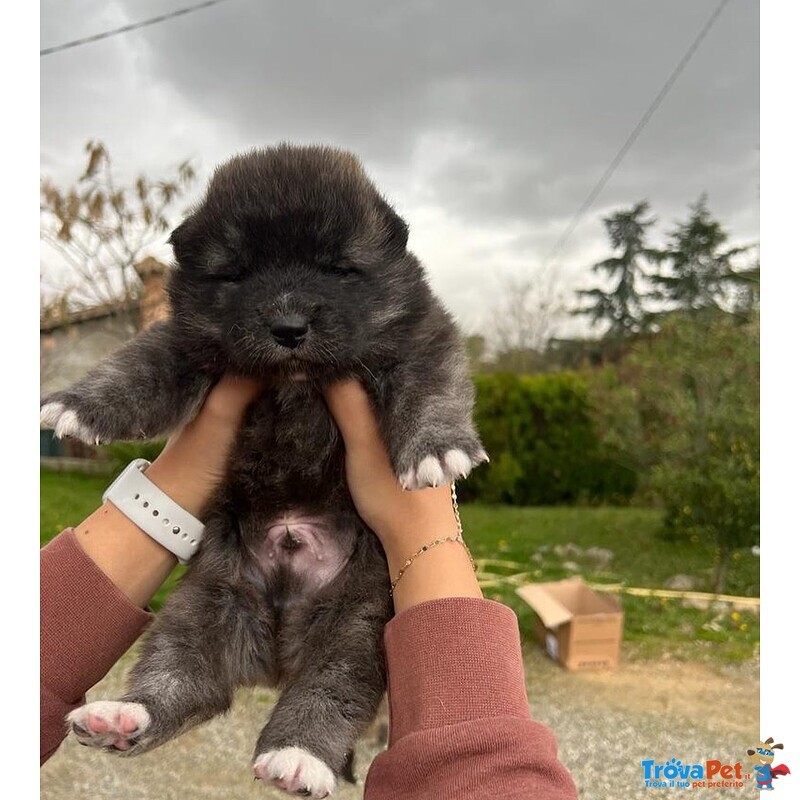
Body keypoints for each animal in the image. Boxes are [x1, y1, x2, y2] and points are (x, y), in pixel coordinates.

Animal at [43, 145, 488, 800]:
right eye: (235, 274)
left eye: (338, 269)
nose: (288, 327)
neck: (295, 383)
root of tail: (277, 652)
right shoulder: (184, 341)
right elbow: (138, 366)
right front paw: (79, 405)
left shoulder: (422, 334)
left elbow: (432, 385)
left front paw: (437, 447)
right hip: (203, 605)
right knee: (186, 679)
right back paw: (124, 716)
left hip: (359, 624)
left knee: (332, 687)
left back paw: (298, 754)